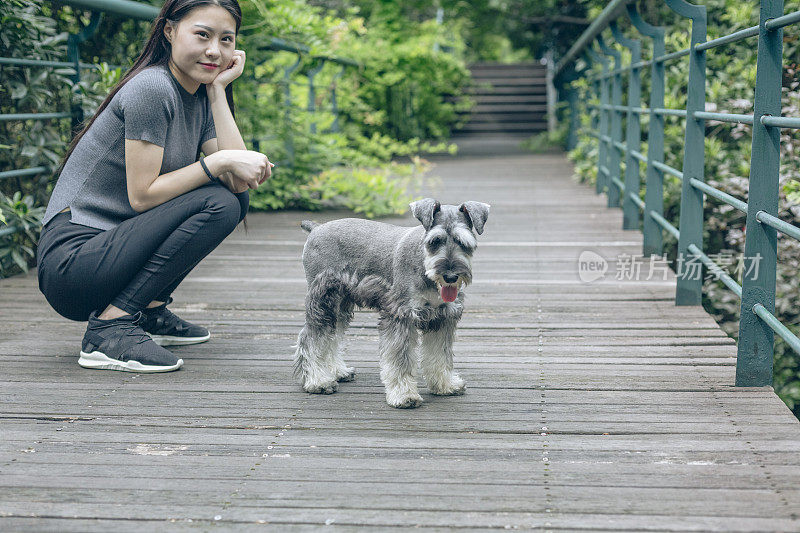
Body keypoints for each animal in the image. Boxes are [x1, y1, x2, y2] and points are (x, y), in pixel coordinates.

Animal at [294, 198, 490, 408]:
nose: (451, 276)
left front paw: (445, 385)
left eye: (463, 242)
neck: (424, 265)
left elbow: (440, 356)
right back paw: (318, 381)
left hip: (340, 303)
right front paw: (404, 395)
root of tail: (316, 228)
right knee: (311, 337)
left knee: (333, 335)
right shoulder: (401, 315)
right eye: (435, 241)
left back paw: (338, 371)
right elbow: (400, 360)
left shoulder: (443, 317)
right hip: (322, 299)